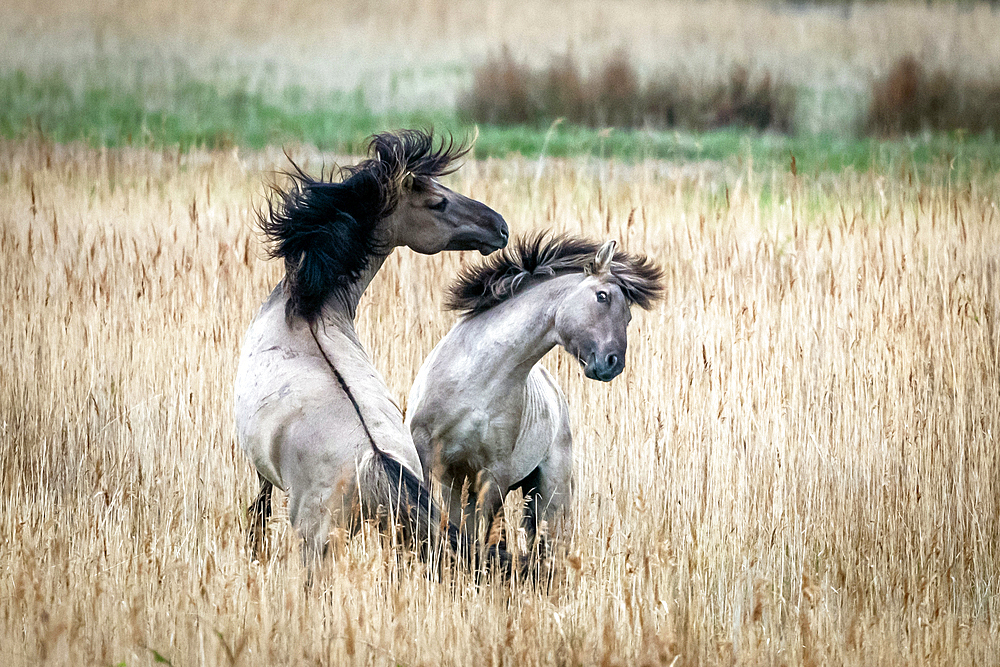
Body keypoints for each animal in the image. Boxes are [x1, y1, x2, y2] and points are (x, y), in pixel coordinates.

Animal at [233, 130, 508, 568]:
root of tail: (377, 460)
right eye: (438, 201)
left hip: (317, 542)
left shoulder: (260, 470)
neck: (306, 310)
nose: (500, 228)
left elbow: (257, 514)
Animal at [402, 232, 668, 556]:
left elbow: (486, 542)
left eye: (628, 316)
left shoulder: (493, 475)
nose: (613, 363)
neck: (475, 382)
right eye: (602, 296)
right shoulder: (434, 464)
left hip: (549, 492)